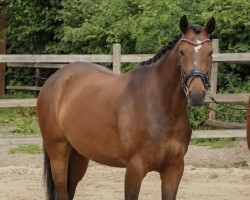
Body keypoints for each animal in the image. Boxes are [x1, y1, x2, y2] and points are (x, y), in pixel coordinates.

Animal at [36, 15, 215, 200]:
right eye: (182, 52)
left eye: (210, 53)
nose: (196, 94)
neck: (160, 107)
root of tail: (54, 79)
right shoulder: (135, 168)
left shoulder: (174, 169)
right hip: (58, 155)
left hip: (78, 155)